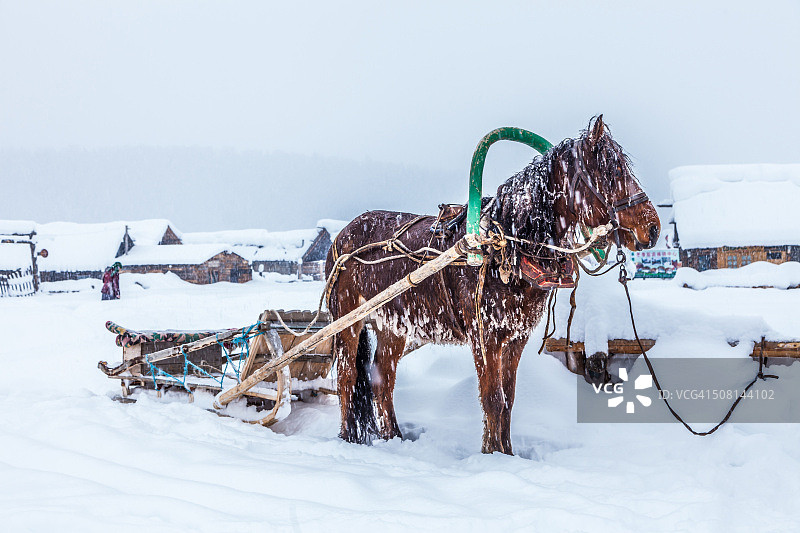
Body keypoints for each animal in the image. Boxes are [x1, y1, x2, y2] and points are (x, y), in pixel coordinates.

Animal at [325, 116, 660, 455]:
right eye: (612, 171)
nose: (653, 228)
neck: (502, 245)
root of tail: (343, 235)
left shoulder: (516, 336)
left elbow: (508, 400)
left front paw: (506, 453)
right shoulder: (484, 336)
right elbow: (492, 399)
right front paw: (491, 455)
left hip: (393, 325)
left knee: (382, 380)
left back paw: (395, 438)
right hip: (348, 321)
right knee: (348, 378)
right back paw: (349, 438)